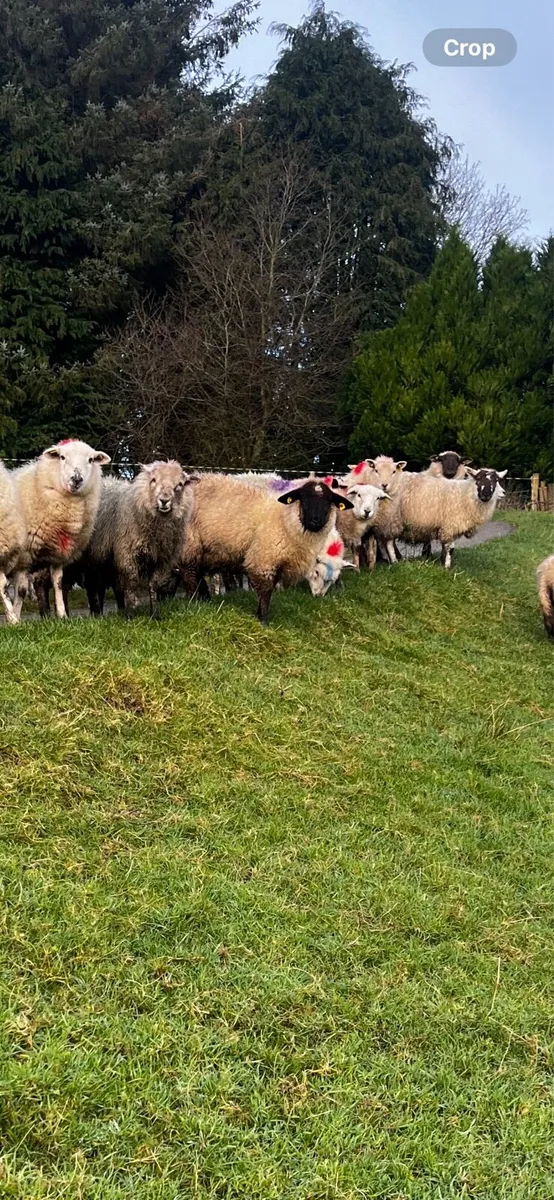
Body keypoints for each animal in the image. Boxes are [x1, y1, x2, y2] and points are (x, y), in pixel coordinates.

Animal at [9, 439, 111, 620]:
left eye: (91, 459)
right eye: (62, 457)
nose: (76, 479)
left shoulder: (57, 552)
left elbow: (58, 584)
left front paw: (62, 615)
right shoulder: (24, 555)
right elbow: (21, 590)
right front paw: (16, 619)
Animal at [82, 461, 196, 619]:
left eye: (180, 484)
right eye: (153, 480)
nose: (164, 501)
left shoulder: (161, 558)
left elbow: (153, 584)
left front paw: (155, 614)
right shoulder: (127, 553)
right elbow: (131, 583)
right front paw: (130, 615)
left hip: (105, 555)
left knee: (103, 584)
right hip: (92, 552)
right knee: (92, 582)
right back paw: (97, 613)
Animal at [179, 474, 353, 623]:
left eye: (328, 501)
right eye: (303, 498)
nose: (315, 520)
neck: (284, 520)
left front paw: (258, 615)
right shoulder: (264, 559)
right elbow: (266, 591)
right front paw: (263, 620)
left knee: (198, 574)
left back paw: (205, 600)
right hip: (190, 543)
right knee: (190, 574)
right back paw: (193, 602)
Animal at [369, 464, 507, 568]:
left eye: (496, 481)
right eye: (478, 479)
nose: (486, 495)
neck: (465, 494)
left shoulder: (446, 526)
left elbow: (445, 547)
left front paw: (442, 561)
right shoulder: (450, 526)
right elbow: (450, 548)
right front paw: (447, 567)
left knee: (381, 540)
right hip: (391, 517)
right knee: (388, 542)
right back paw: (394, 561)